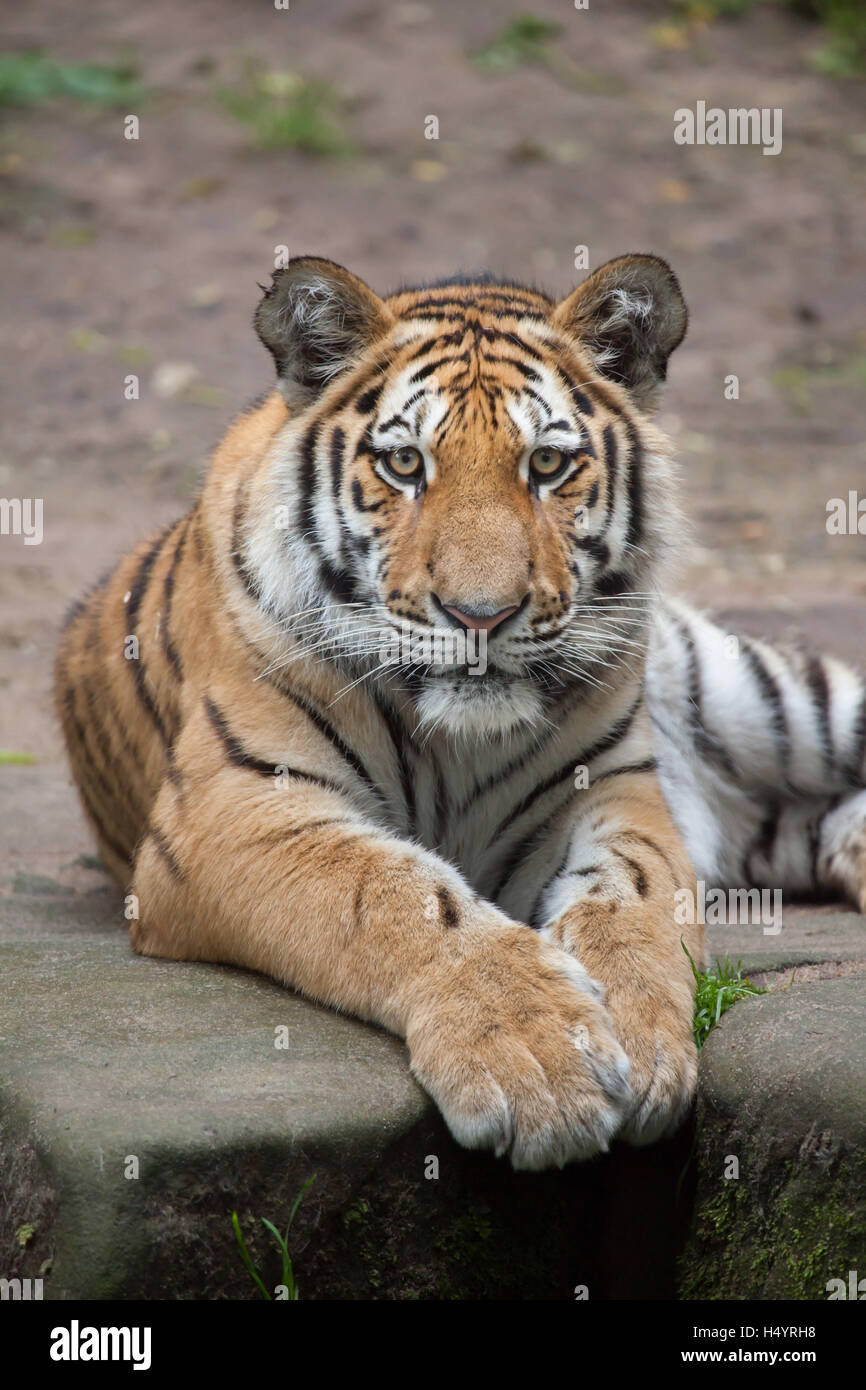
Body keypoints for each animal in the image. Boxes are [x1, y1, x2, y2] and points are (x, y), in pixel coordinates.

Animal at [55, 253, 866, 1171]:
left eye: (547, 466)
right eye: (405, 464)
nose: (481, 615)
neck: (456, 741)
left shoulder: (616, 789)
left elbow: (635, 900)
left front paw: (639, 1036)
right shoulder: (237, 808)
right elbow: (396, 893)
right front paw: (538, 1058)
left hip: (769, 699)